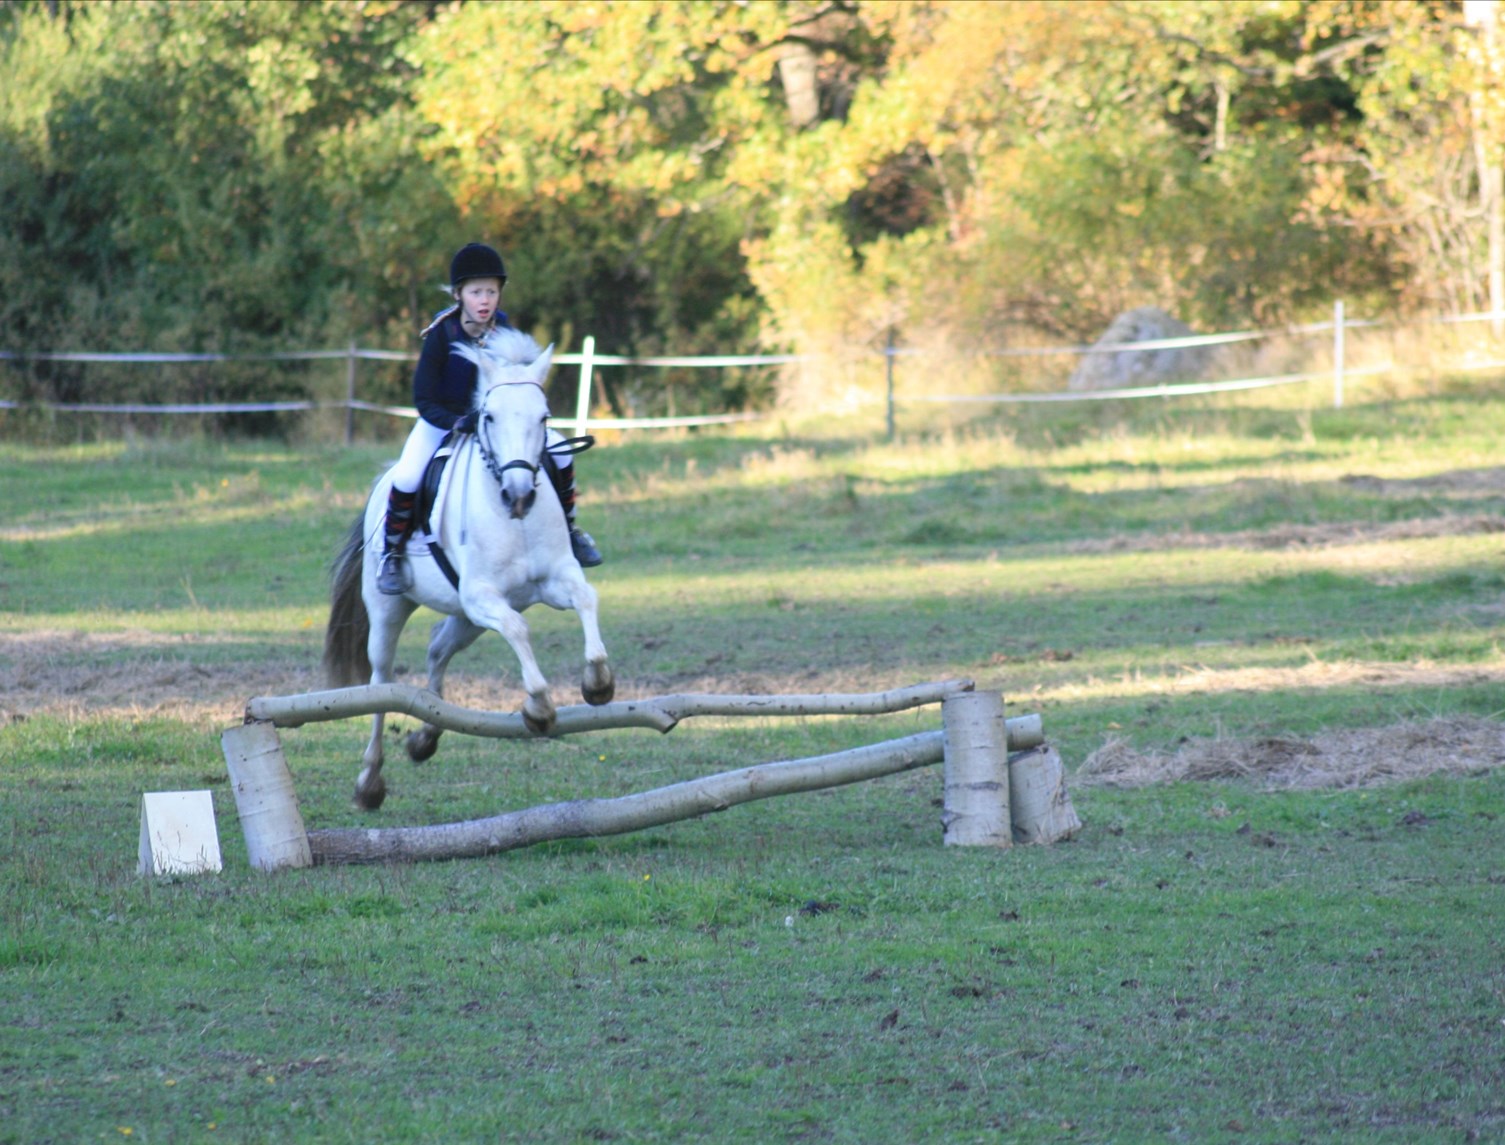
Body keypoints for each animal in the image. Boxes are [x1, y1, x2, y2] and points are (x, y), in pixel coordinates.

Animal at [326, 331, 614, 806]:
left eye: (544, 417)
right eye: (490, 417)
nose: (519, 495)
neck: (515, 520)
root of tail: (381, 485)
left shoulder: (553, 581)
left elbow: (587, 599)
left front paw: (598, 684)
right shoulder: (483, 597)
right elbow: (518, 629)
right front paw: (539, 709)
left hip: (466, 619)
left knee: (438, 650)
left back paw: (425, 739)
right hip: (391, 610)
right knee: (382, 681)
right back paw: (369, 782)